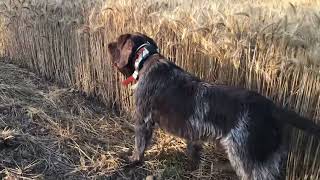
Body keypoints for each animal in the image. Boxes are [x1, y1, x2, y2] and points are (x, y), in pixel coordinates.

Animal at [108, 32, 320, 180]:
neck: (146, 60)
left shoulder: (143, 120)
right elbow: (193, 152)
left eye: (118, 41)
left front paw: (132, 161)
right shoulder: (193, 135)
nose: (108, 44)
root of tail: (272, 108)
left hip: (248, 161)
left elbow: (139, 146)